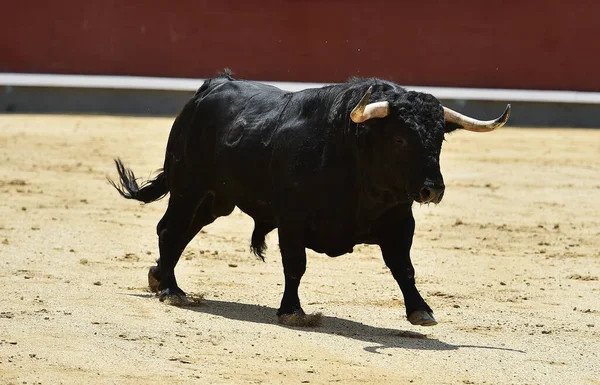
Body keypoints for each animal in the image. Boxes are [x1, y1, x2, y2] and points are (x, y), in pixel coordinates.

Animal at [109, 70, 510, 326]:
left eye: (440, 137)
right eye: (399, 138)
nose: (432, 189)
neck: (352, 152)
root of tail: (211, 87)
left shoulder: (399, 220)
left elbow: (403, 267)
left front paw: (421, 311)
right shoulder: (292, 219)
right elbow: (295, 265)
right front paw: (292, 312)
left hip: (214, 199)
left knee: (183, 233)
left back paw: (160, 278)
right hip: (188, 187)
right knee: (169, 229)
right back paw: (171, 290)